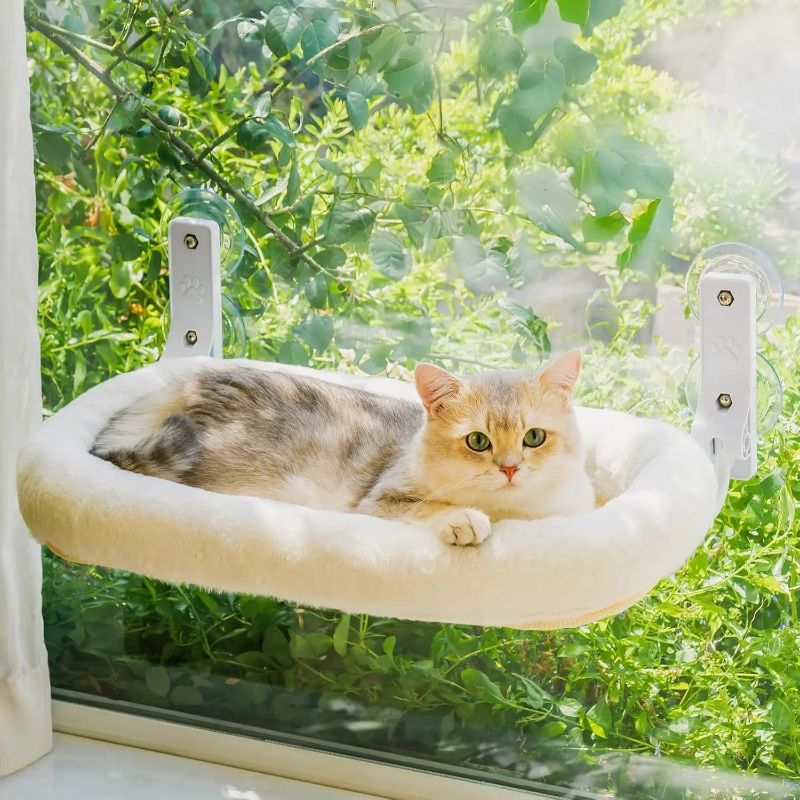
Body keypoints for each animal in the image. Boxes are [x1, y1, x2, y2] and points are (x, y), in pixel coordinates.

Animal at [92, 354, 592, 548]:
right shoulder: (380, 500)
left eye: (533, 437)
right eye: (478, 441)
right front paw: (463, 519)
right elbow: (429, 507)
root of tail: (194, 377)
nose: (510, 469)